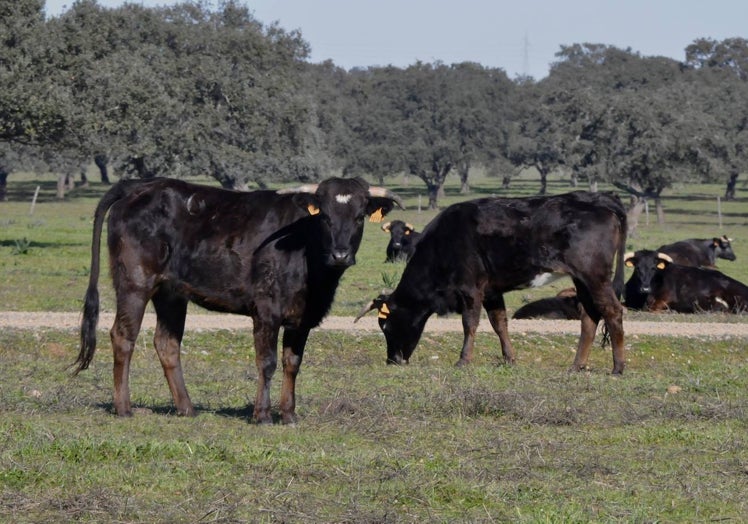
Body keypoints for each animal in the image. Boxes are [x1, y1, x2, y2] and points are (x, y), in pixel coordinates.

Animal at [74, 178, 404, 424]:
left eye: (359, 217)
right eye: (324, 216)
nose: (340, 255)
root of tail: (140, 186)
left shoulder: (302, 318)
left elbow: (292, 363)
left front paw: (289, 414)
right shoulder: (266, 311)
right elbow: (267, 362)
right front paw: (263, 415)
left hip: (171, 293)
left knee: (167, 343)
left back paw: (187, 408)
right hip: (135, 282)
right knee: (123, 336)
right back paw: (124, 408)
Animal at [360, 190, 628, 374]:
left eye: (386, 325)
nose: (392, 360)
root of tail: (600, 198)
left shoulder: (470, 288)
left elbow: (469, 324)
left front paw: (463, 360)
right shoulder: (491, 291)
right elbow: (499, 323)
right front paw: (509, 358)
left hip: (595, 276)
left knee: (612, 311)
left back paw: (618, 367)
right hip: (582, 279)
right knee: (589, 316)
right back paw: (577, 365)